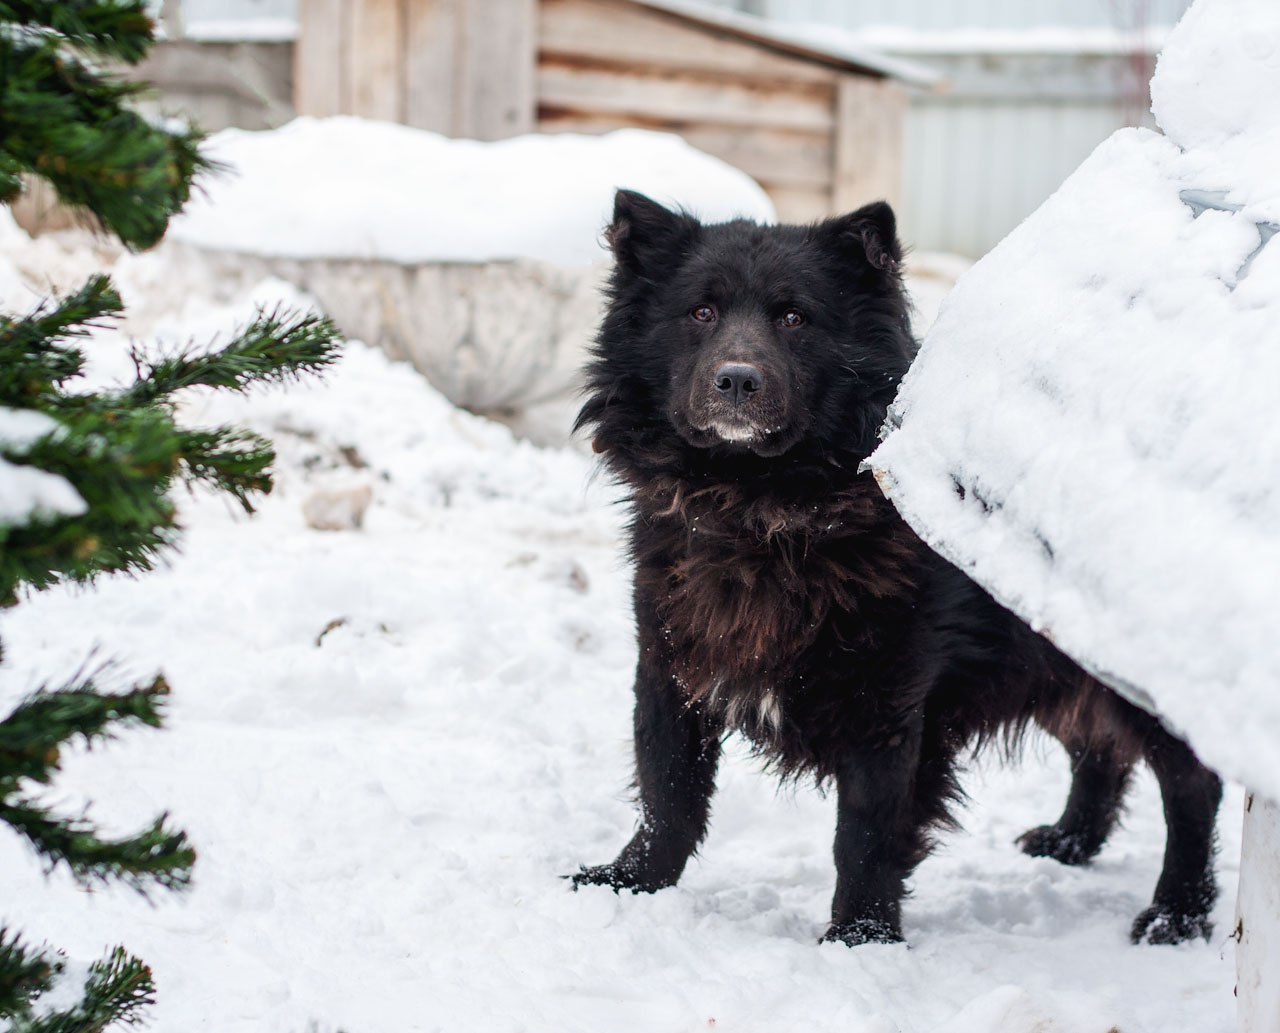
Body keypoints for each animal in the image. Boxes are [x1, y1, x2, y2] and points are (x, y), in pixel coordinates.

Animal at [570, 189, 1218, 947]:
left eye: (795, 317)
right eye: (700, 313)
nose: (736, 380)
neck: (763, 510)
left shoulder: (889, 703)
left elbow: (866, 834)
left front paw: (860, 938)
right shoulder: (671, 665)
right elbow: (667, 792)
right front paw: (631, 883)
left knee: (1192, 787)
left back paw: (1177, 913)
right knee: (1099, 752)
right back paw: (1069, 841)